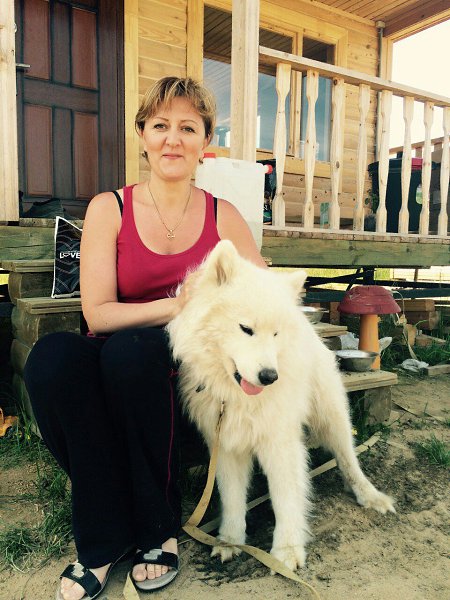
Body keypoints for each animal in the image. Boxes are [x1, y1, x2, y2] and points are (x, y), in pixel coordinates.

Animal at [167, 240, 395, 571]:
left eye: (275, 334)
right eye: (245, 328)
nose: (269, 377)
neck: (238, 397)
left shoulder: (280, 442)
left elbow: (286, 497)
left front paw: (287, 550)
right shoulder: (226, 443)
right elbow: (232, 496)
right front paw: (230, 540)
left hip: (331, 415)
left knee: (348, 458)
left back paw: (370, 495)